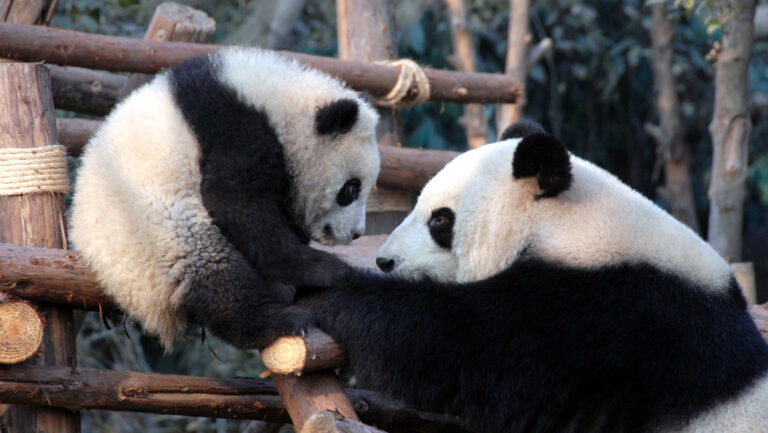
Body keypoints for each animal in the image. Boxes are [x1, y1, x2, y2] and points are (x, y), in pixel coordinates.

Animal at [69, 47, 380, 351]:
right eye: (351, 189)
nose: (356, 233)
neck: (283, 102)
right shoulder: (236, 130)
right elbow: (235, 203)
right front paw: (327, 269)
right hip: (153, 229)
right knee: (215, 271)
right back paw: (278, 320)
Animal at [297, 120, 768, 432]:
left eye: (441, 220)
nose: (385, 261)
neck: (572, 222)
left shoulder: (602, 319)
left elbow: (455, 345)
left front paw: (323, 292)